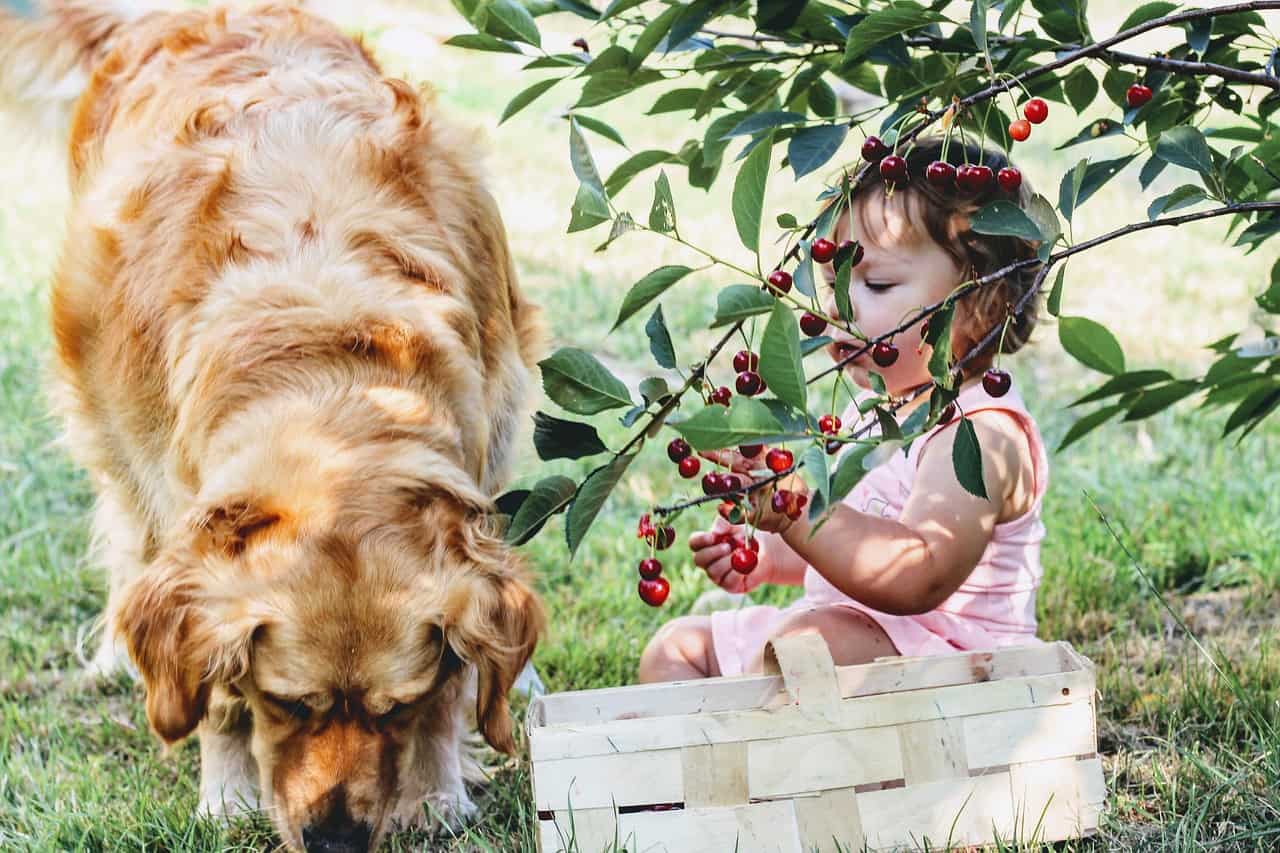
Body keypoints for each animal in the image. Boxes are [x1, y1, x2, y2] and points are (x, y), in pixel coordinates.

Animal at [0, 3, 545, 845]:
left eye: (395, 706)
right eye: (286, 700)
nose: (336, 840)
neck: (334, 379)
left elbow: (458, 676)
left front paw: (436, 787)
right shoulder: (184, 523)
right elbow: (210, 685)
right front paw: (227, 790)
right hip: (106, 421)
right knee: (124, 532)